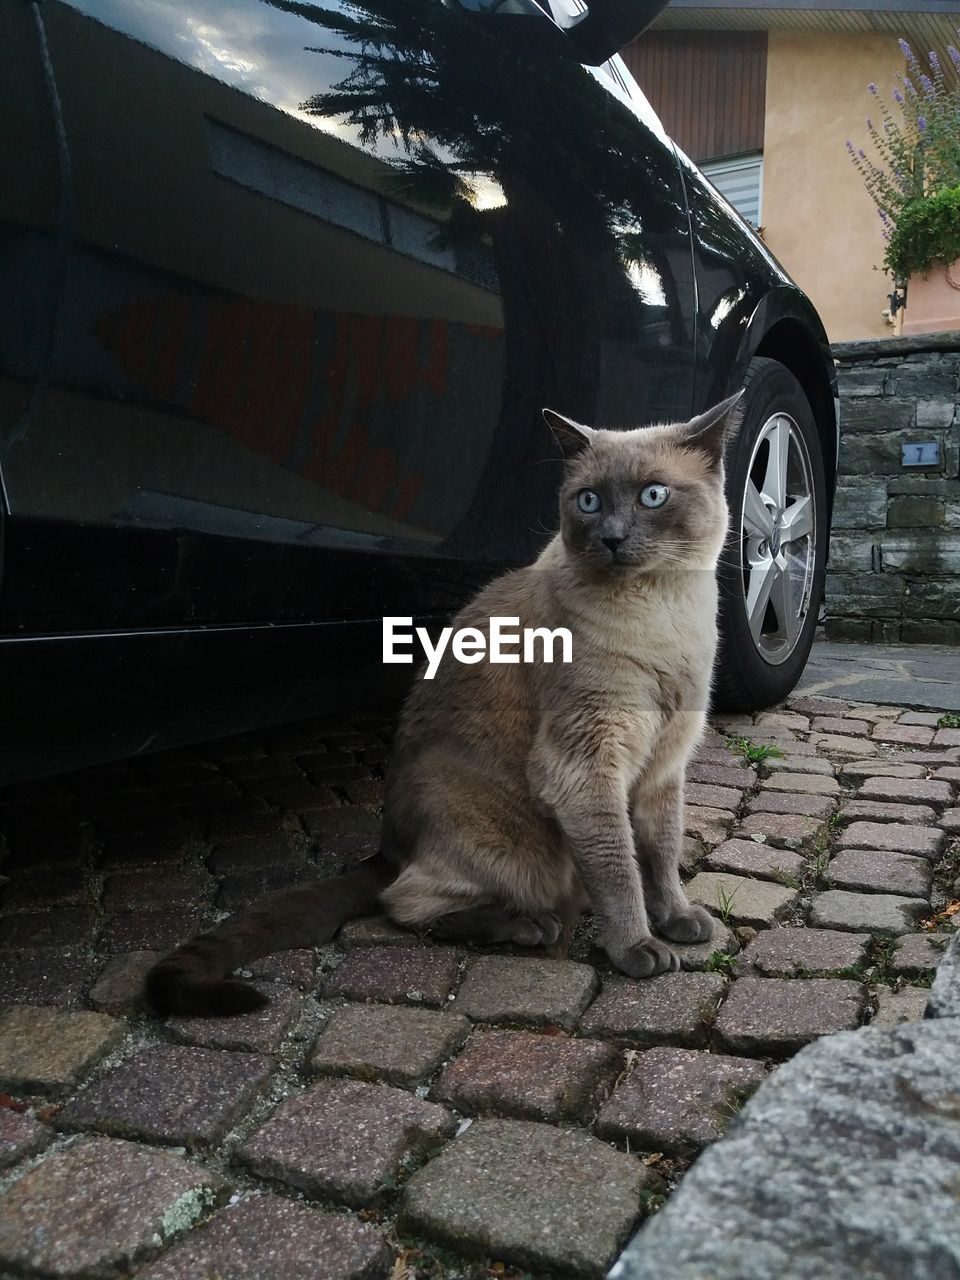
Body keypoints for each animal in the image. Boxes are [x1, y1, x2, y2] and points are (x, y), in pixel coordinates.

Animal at [144, 394, 742, 1013]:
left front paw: (678, 922)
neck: (666, 614)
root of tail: (388, 847)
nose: (613, 538)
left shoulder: (666, 764)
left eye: (653, 495)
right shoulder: (587, 763)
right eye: (589, 501)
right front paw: (638, 950)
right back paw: (530, 926)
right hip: (510, 844)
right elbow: (620, 869)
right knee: (404, 903)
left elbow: (661, 853)